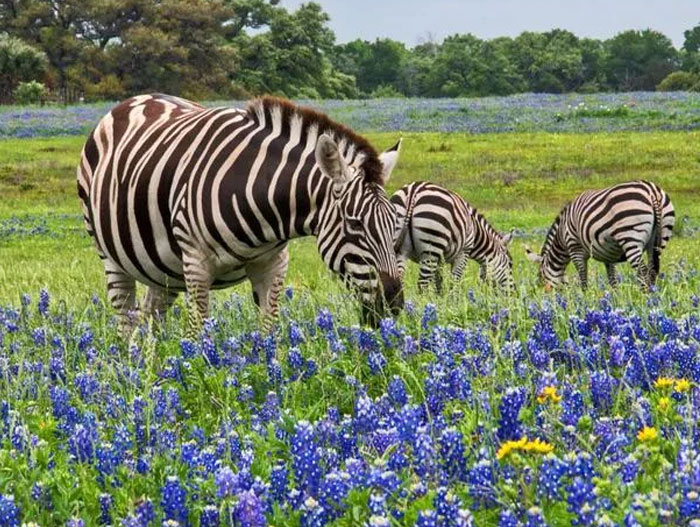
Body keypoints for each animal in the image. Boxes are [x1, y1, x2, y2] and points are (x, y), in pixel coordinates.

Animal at [77, 93, 404, 335]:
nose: (394, 306)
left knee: (149, 321)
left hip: (163, 269)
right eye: (355, 223)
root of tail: (136, 99)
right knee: (126, 325)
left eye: (395, 225)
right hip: (112, 257)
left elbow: (268, 333)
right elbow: (197, 334)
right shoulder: (196, 264)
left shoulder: (273, 264)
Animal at [525, 180, 675, 290]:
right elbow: (612, 278)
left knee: (643, 271)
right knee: (652, 271)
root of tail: (652, 192)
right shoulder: (609, 253)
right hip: (659, 240)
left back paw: (643, 296)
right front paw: (615, 297)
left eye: (540, 277)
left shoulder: (575, 250)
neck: (562, 234)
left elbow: (583, 278)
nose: (544, 294)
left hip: (630, 237)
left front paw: (584, 298)